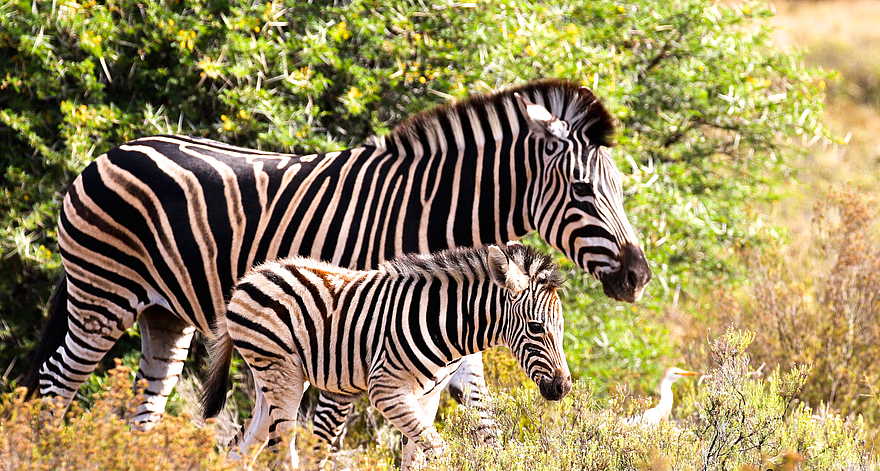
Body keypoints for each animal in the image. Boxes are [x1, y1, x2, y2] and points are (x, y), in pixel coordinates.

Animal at [24, 79, 650, 443]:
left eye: (619, 190)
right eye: (582, 191)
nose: (638, 278)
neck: (424, 213)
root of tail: (108, 154)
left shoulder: (450, 322)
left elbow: (481, 418)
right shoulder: (352, 324)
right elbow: (330, 429)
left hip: (164, 315)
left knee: (143, 406)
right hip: (102, 298)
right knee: (55, 386)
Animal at [201, 243, 571, 468]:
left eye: (561, 327)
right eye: (537, 327)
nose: (564, 388)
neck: (444, 324)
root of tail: (250, 276)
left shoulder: (427, 397)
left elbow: (416, 456)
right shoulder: (386, 390)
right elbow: (438, 450)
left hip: (274, 379)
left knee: (240, 447)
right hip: (282, 375)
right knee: (281, 451)